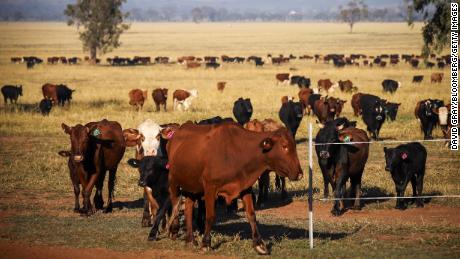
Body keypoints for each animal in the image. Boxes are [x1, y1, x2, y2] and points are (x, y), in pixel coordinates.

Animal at [167, 123, 304, 255]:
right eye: (284, 146)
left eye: (294, 146)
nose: (300, 174)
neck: (236, 152)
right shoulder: (210, 188)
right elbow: (210, 217)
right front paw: (206, 243)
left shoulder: (245, 188)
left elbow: (251, 215)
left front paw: (259, 244)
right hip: (173, 181)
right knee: (175, 203)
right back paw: (174, 229)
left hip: (192, 186)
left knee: (188, 208)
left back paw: (190, 239)